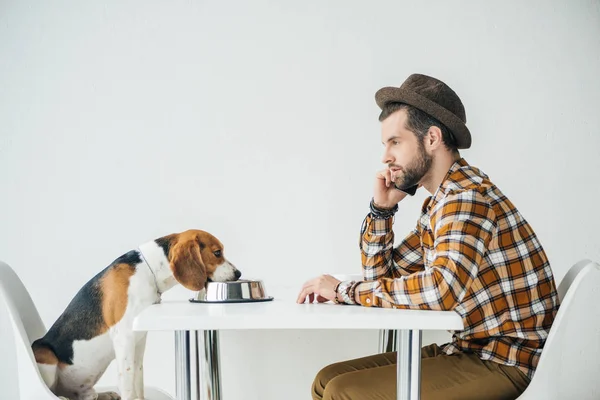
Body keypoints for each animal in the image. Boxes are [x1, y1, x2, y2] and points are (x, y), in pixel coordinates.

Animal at [30, 228, 240, 400]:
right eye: (217, 253)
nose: (238, 273)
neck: (148, 270)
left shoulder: (139, 339)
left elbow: (138, 378)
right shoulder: (124, 337)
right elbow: (127, 382)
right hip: (45, 354)